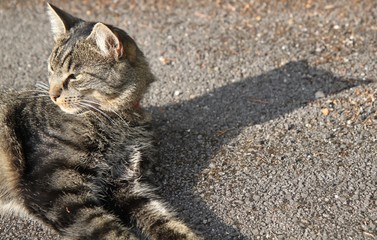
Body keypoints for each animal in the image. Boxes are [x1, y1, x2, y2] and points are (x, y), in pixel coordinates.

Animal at [0, 2, 201, 239]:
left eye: (74, 76)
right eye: (51, 68)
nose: (52, 94)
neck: (118, 119)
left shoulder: (125, 184)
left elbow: (164, 219)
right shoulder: (53, 189)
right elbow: (109, 230)